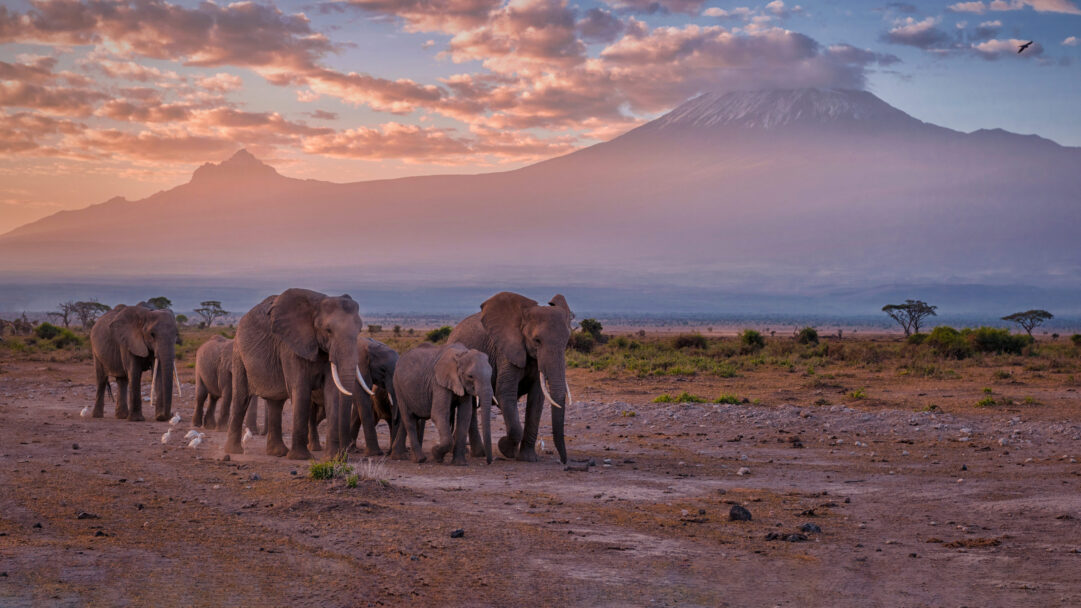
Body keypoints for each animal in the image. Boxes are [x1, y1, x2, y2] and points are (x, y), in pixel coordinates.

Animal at [224, 288, 368, 460]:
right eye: (328, 330)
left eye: (359, 331)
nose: (343, 455)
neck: (317, 303)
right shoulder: (290, 347)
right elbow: (301, 390)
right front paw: (301, 457)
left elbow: (332, 392)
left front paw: (332, 458)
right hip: (238, 353)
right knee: (241, 398)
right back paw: (234, 451)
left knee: (276, 403)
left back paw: (278, 453)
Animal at [447, 292, 573, 463]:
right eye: (537, 340)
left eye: (566, 342)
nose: (564, 461)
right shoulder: (505, 351)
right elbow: (505, 393)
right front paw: (505, 449)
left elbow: (537, 398)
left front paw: (528, 458)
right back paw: (478, 453)